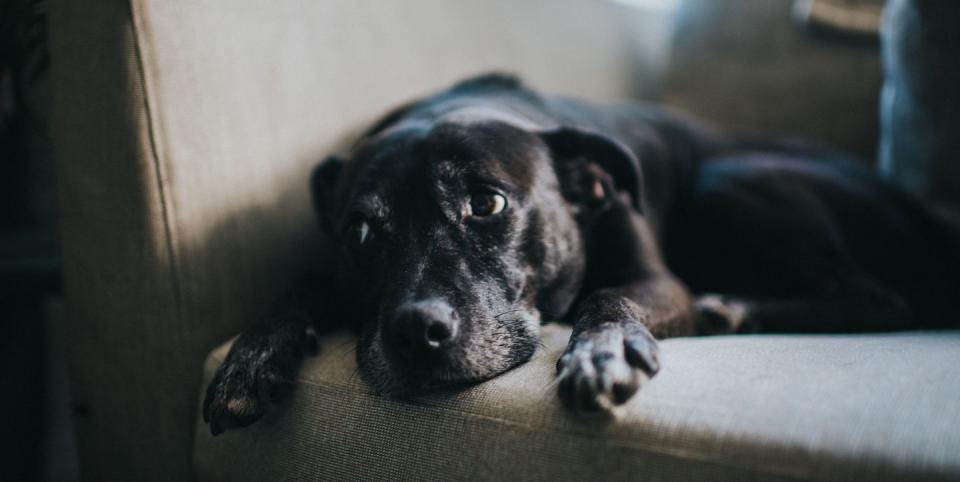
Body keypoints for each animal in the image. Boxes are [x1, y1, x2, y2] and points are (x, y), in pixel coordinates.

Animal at [202, 73, 960, 434]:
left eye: (487, 203)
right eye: (361, 234)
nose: (416, 331)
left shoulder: (656, 280)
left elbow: (609, 293)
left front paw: (603, 348)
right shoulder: (329, 266)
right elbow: (301, 283)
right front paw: (252, 357)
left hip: (725, 180)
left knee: (883, 298)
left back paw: (735, 309)